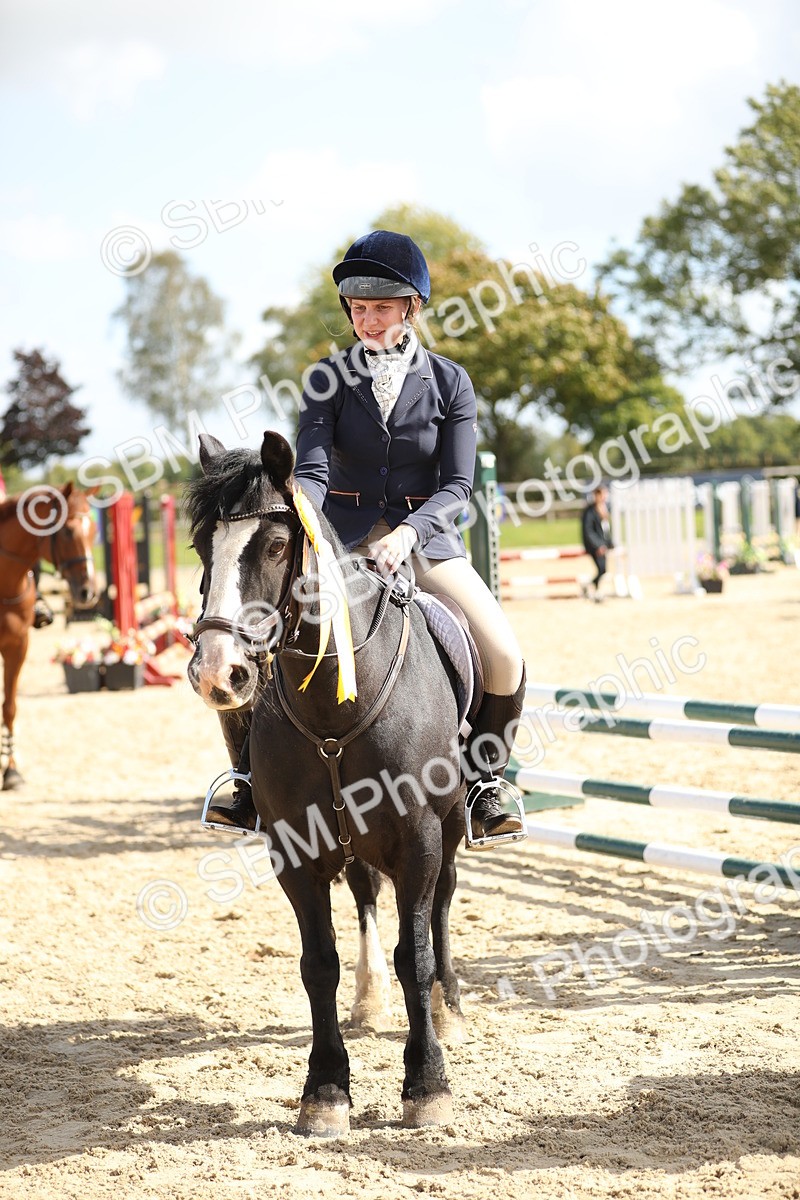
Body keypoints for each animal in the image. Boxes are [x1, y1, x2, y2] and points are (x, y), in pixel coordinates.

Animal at [0, 483, 98, 788]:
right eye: (66, 531)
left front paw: (11, 771)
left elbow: (10, 707)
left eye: (94, 531)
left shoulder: (18, 646)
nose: (88, 591)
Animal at [186, 431, 469, 1136]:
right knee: (366, 896)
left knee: (442, 904)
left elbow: (415, 953)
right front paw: (325, 1091)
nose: (217, 674)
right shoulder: (295, 849)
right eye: (202, 546)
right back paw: (369, 1002)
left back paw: (449, 1007)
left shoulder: (419, 839)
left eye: (275, 545)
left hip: (450, 829)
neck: (334, 710)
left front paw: (427, 1085)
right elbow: (319, 965)